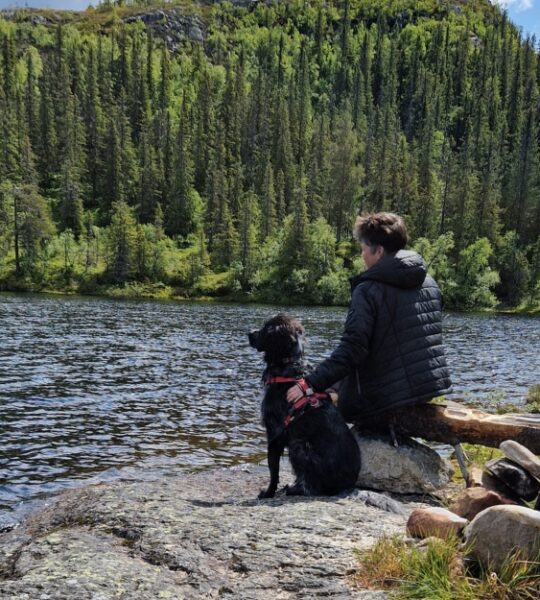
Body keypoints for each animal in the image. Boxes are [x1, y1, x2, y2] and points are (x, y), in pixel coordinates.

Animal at [248, 313, 361, 498]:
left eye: (266, 328)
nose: (249, 333)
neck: (289, 365)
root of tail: (347, 485)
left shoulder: (274, 432)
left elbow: (273, 469)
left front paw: (268, 492)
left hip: (299, 445)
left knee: (313, 486)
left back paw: (295, 489)